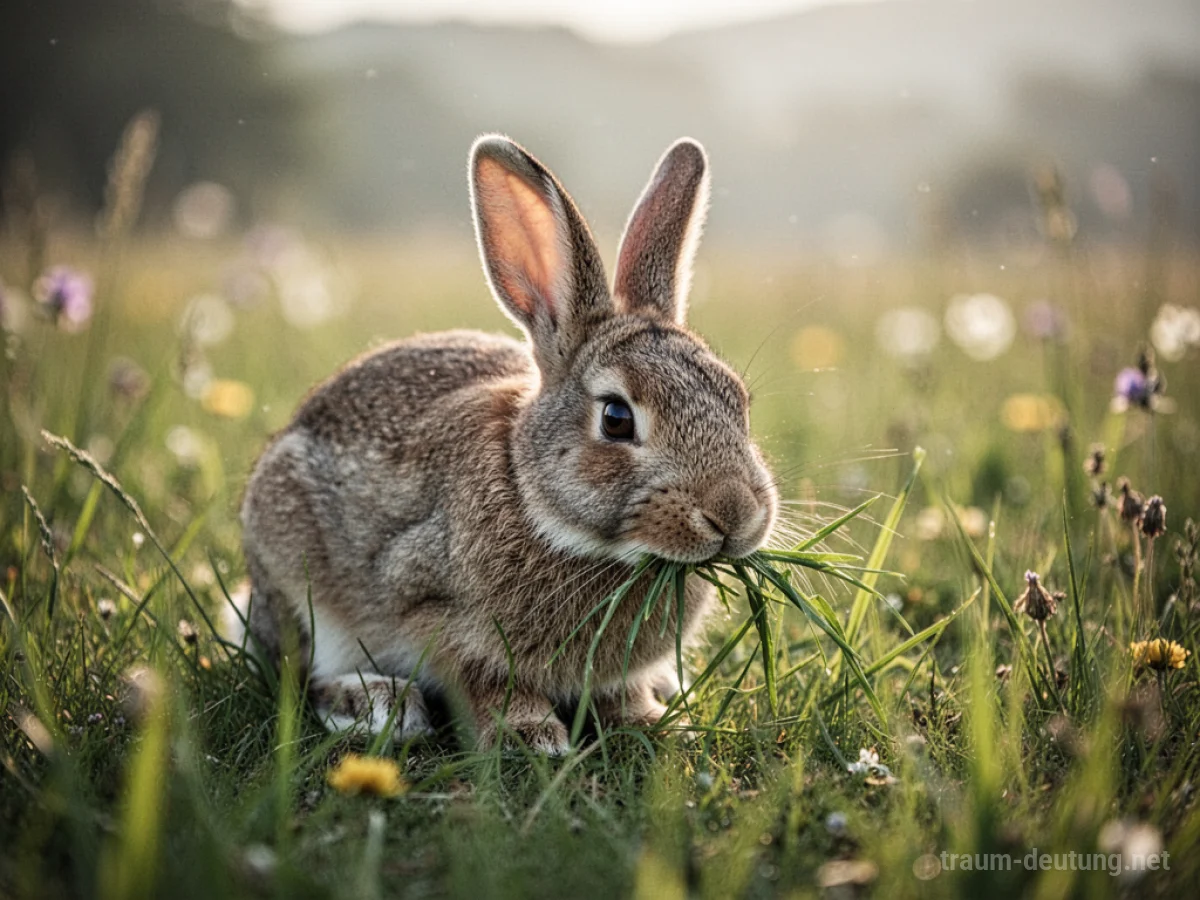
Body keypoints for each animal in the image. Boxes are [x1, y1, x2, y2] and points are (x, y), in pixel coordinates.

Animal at [237, 134, 778, 754]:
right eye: (617, 419)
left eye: (738, 400)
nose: (736, 514)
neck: (537, 503)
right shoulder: (437, 615)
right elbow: (489, 684)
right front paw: (531, 737)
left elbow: (622, 692)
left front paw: (650, 723)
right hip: (294, 571)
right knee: (302, 673)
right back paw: (375, 704)